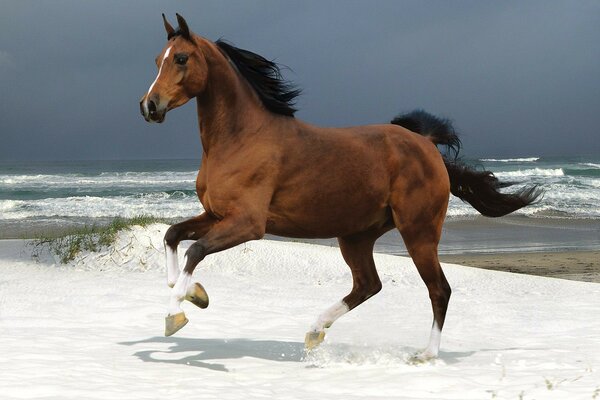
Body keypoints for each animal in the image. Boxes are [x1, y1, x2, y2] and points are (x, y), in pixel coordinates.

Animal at [141, 14, 540, 360]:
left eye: (181, 59)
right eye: (158, 60)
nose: (149, 106)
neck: (241, 138)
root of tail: (426, 144)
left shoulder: (248, 224)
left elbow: (195, 251)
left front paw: (175, 314)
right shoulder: (216, 214)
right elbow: (173, 235)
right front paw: (194, 293)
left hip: (419, 232)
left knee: (438, 289)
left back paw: (425, 354)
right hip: (357, 236)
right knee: (368, 284)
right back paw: (315, 331)